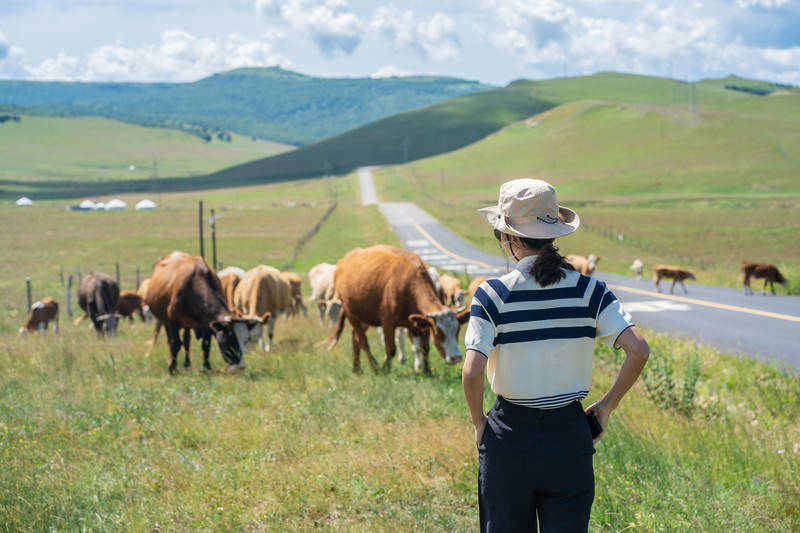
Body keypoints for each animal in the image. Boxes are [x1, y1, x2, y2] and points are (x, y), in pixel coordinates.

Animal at [328, 245, 472, 374]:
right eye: (438, 333)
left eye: (457, 330)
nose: (456, 358)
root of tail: (344, 260)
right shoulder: (387, 322)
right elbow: (391, 350)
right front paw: (385, 369)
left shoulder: (420, 323)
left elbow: (425, 348)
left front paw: (426, 371)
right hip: (350, 313)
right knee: (363, 341)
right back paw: (374, 367)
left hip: (365, 316)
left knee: (355, 338)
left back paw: (357, 368)